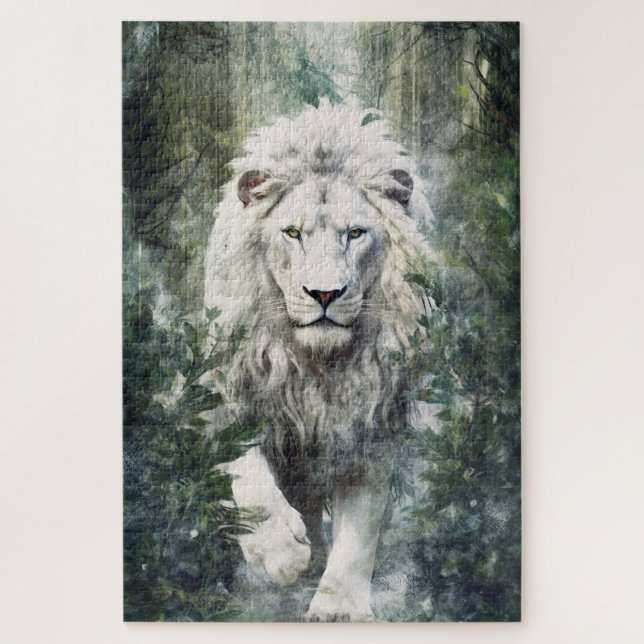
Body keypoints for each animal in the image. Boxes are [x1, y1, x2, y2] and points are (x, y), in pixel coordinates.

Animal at [203, 100, 435, 621]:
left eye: (356, 234)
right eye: (292, 233)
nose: (325, 293)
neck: (316, 367)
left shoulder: (370, 424)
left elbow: (360, 529)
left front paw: (338, 607)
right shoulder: (222, 392)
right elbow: (245, 469)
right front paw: (279, 553)